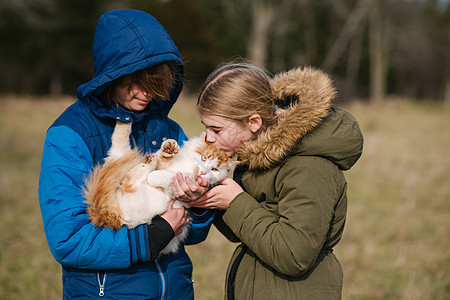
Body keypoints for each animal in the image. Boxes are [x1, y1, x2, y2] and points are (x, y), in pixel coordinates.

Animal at [85, 120, 239, 255]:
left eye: (214, 170)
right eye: (204, 158)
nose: (202, 172)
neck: (188, 166)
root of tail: (102, 212)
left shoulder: (176, 189)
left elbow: (170, 176)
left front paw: (154, 176)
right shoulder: (166, 166)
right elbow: (163, 161)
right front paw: (169, 149)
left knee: (131, 175)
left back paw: (148, 162)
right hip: (119, 160)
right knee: (120, 143)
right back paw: (126, 124)